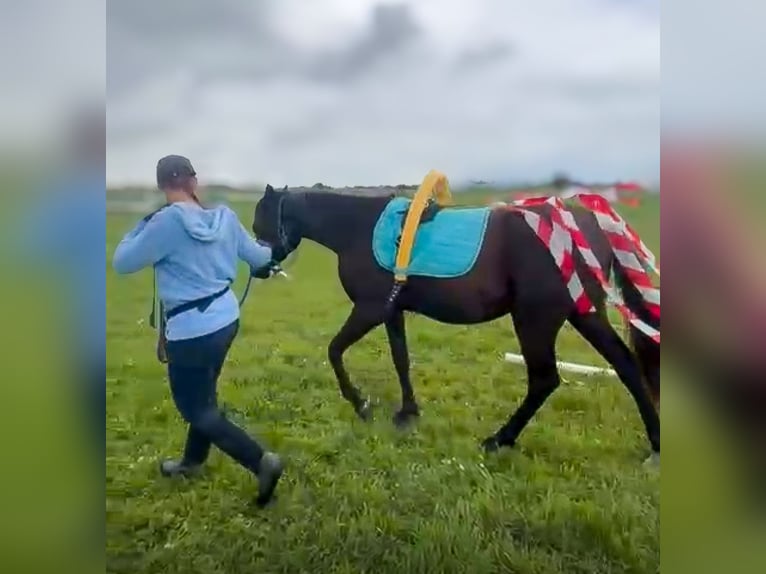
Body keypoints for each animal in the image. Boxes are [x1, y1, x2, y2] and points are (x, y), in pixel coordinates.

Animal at [252, 185, 660, 460]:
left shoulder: (369, 309)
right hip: (584, 313)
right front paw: (407, 413)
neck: (359, 230)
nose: (259, 269)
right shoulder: (391, 311)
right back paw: (654, 444)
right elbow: (401, 360)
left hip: (535, 320)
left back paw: (499, 439)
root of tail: (581, 222)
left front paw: (361, 404)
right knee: (626, 365)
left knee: (545, 379)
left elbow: (334, 350)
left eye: (260, 221)